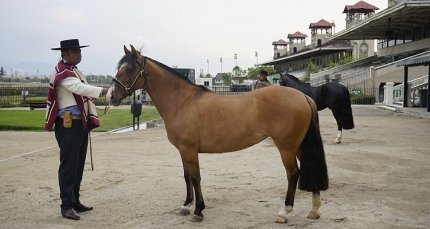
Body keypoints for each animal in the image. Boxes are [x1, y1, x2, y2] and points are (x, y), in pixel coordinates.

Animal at [107, 45, 330, 224]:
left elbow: (195, 177)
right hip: (299, 146)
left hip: (287, 147)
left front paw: (198, 210)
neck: (182, 102)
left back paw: (284, 212)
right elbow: (187, 176)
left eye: (129, 68)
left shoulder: (189, 150)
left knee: (293, 174)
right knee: (310, 168)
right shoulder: (183, 151)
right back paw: (314, 210)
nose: (110, 96)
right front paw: (186, 206)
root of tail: (302, 96)